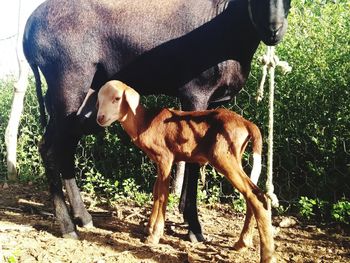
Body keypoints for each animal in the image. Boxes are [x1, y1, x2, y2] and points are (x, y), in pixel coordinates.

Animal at [21, 0, 290, 243]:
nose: (274, 29)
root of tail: (29, 29)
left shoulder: (211, 103)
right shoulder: (195, 92)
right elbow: (192, 163)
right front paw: (194, 228)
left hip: (83, 102)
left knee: (64, 149)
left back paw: (83, 217)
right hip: (68, 85)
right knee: (50, 149)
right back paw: (68, 227)